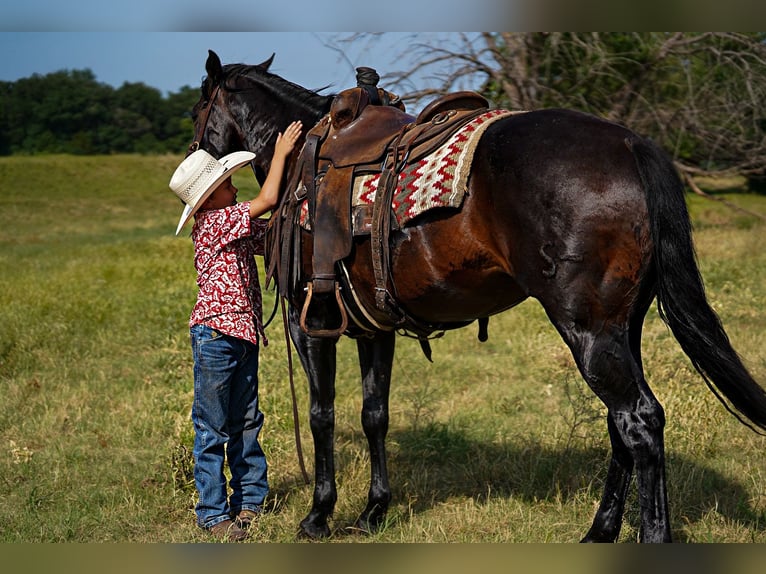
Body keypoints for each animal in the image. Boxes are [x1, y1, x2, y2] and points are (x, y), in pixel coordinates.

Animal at [188, 50, 766, 544]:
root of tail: (629, 144)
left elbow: (321, 415)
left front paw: (318, 516)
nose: (197, 158)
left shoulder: (311, 323)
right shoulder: (373, 328)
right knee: (619, 424)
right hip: (624, 328)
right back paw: (599, 531)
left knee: (640, 421)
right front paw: (373, 511)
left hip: (589, 329)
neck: (302, 162)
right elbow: (375, 414)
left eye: (198, 109)